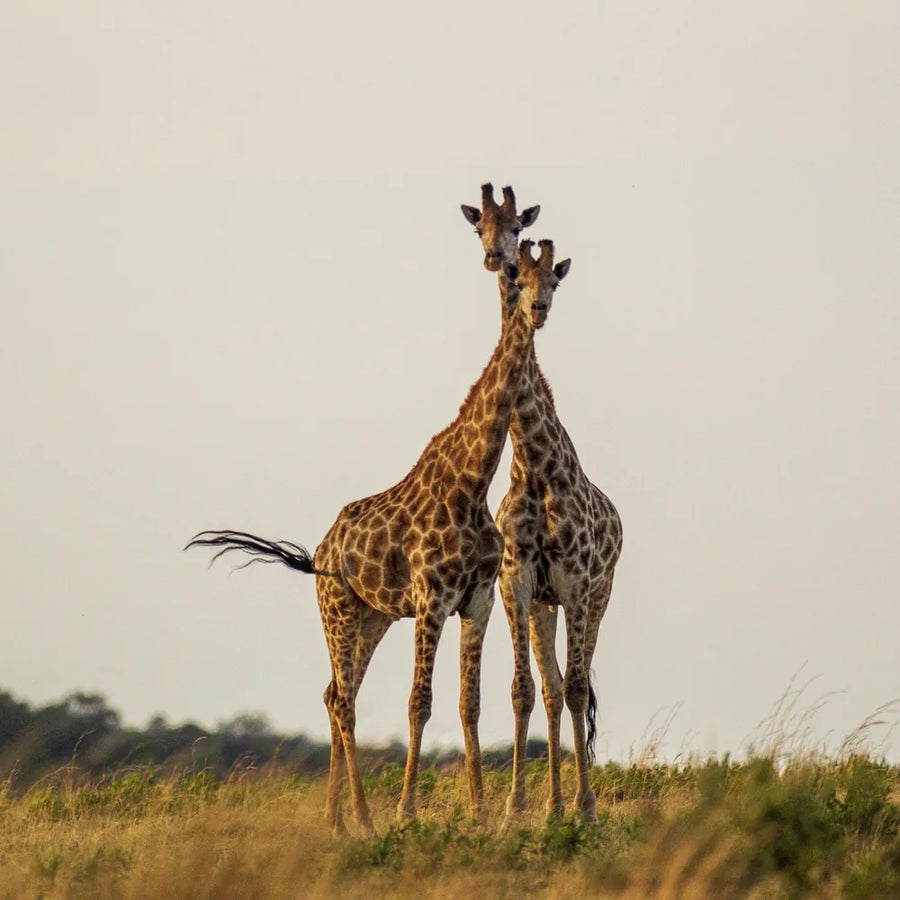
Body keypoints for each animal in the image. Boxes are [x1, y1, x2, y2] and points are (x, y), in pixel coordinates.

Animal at [185, 235, 564, 837]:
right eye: (519, 279)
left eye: (552, 281)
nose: (538, 310)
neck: (472, 481)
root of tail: (320, 553)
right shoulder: (432, 599)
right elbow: (419, 701)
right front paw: (408, 812)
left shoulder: (476, 600)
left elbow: (469, 702)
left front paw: (481, 812)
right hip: (337, 609)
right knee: (344, 701)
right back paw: (362, 819)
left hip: (373, 616)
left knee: (334, 693)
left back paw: (337, 819)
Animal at [462, 185, 623, 826]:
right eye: (480, 226)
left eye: (551, 280)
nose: (536, 308)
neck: (532, 462)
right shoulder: (518, 579)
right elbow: (525, 690)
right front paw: (515, 806)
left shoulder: (577, 579)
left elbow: (578, 689)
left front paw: (585, 808)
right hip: (544, 606)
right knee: (552, 688)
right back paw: (550, 802)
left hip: (597, 597)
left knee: (575, 684)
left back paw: (573, 803)